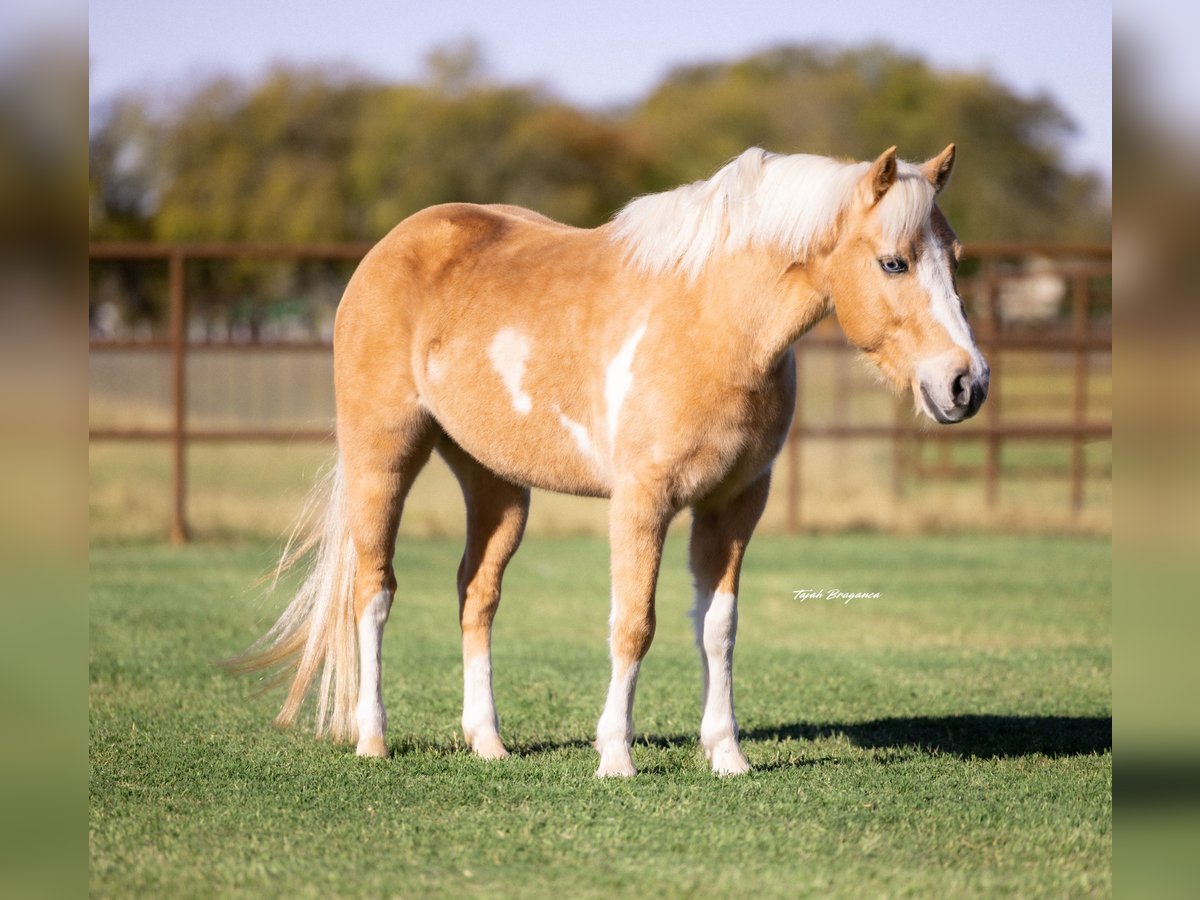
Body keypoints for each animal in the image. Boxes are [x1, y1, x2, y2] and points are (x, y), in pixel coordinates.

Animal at [232, 144, 989, 777]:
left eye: (952, 256)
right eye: (893, 262)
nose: (967, 383)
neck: (714, 322)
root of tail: (391, 246)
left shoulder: (735, 505)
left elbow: (718, 629)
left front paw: (727, 755)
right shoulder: (643, 501)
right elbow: (635, 624)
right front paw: (616, 757)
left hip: (495, 483)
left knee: (477, 595)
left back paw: (488, 742)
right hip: (381, 458)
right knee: (374, 590)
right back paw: (373, 738)